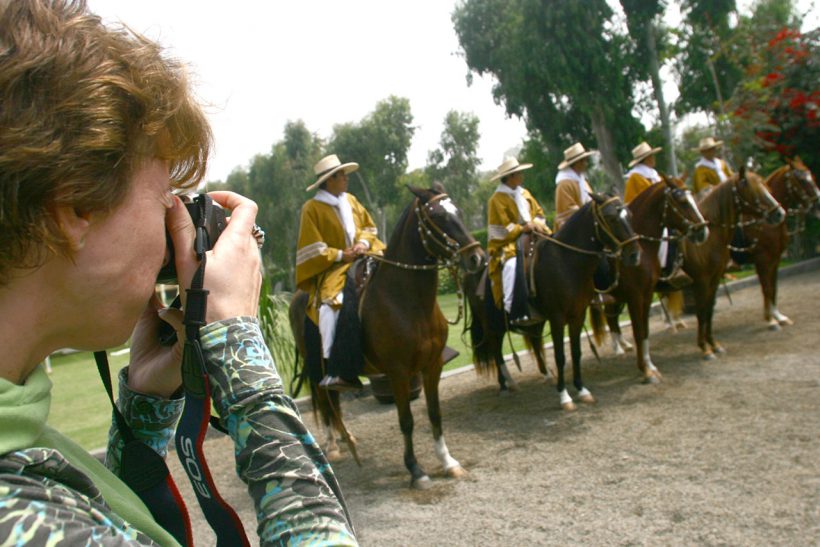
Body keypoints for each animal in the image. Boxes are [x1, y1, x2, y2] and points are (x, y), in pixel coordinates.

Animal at [288, 186, 484, 490]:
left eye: (459, 212)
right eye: (437, 217)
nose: (477, 257)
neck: (407, 301)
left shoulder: (432, 367)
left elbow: (434, 414)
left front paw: (448, 462)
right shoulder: (398, 372)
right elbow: (406, 420)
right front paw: (416, 470)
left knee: (334, 401)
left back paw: (346, 437)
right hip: (315, 364)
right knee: (324, 398)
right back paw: (332, 445)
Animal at [588, 173, 712, 384]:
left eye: (692, 196)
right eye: (681, 201)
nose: (703, 231)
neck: (644, 249)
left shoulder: (646, 295)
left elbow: (644, 331)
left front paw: (650, 366)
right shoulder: (636, 297)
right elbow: (639, 331)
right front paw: (646, 370)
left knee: (612, 318)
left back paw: (623, 345)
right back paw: (618, 348)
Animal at [676, 168, 784, 360]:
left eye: (766, 186)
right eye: (751, 188)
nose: (779, 213)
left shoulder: (715, 278)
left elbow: (709, 310)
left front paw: (714, 345)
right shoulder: (702, 281)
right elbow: (701, 311)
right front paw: (704, 348)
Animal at [740, 158, 816, 330]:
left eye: (811, 176)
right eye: (802, 179)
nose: (818, 203)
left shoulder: (775, 259)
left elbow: (774, 288)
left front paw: (779, 317)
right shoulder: (762, 259)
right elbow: (766, 288)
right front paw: (771, 320)